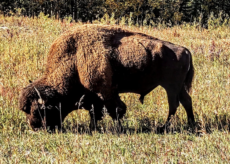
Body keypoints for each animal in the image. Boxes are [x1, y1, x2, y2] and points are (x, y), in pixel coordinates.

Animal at [18, 24, 195, 132]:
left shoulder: (105, 92)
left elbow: (116, 110)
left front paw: (119, 129)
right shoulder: (94, 97)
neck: (74, 60)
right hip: (178, 88)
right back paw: (191, 124)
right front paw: (93, 128)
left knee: (174, 106)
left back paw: (163, 128)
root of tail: (184, 50)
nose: (34, 127)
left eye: (39, 110)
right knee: (186, 102)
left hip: (170, 87)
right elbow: (96, 112)